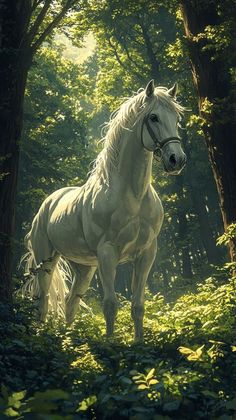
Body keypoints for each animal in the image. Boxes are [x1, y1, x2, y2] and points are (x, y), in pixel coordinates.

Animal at [21, 79, 185, 342]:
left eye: (177, 117)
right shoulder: (108, 254)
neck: (133, 195)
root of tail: (48, 204)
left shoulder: (146, 254)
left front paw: (139, 344)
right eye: (154, 117)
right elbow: (110, 305)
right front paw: (110, 344)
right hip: (45, 261)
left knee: (70, 302)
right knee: (42, 301)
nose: (176, 159)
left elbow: (138, 306)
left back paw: (69, 339)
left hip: (84, 267)